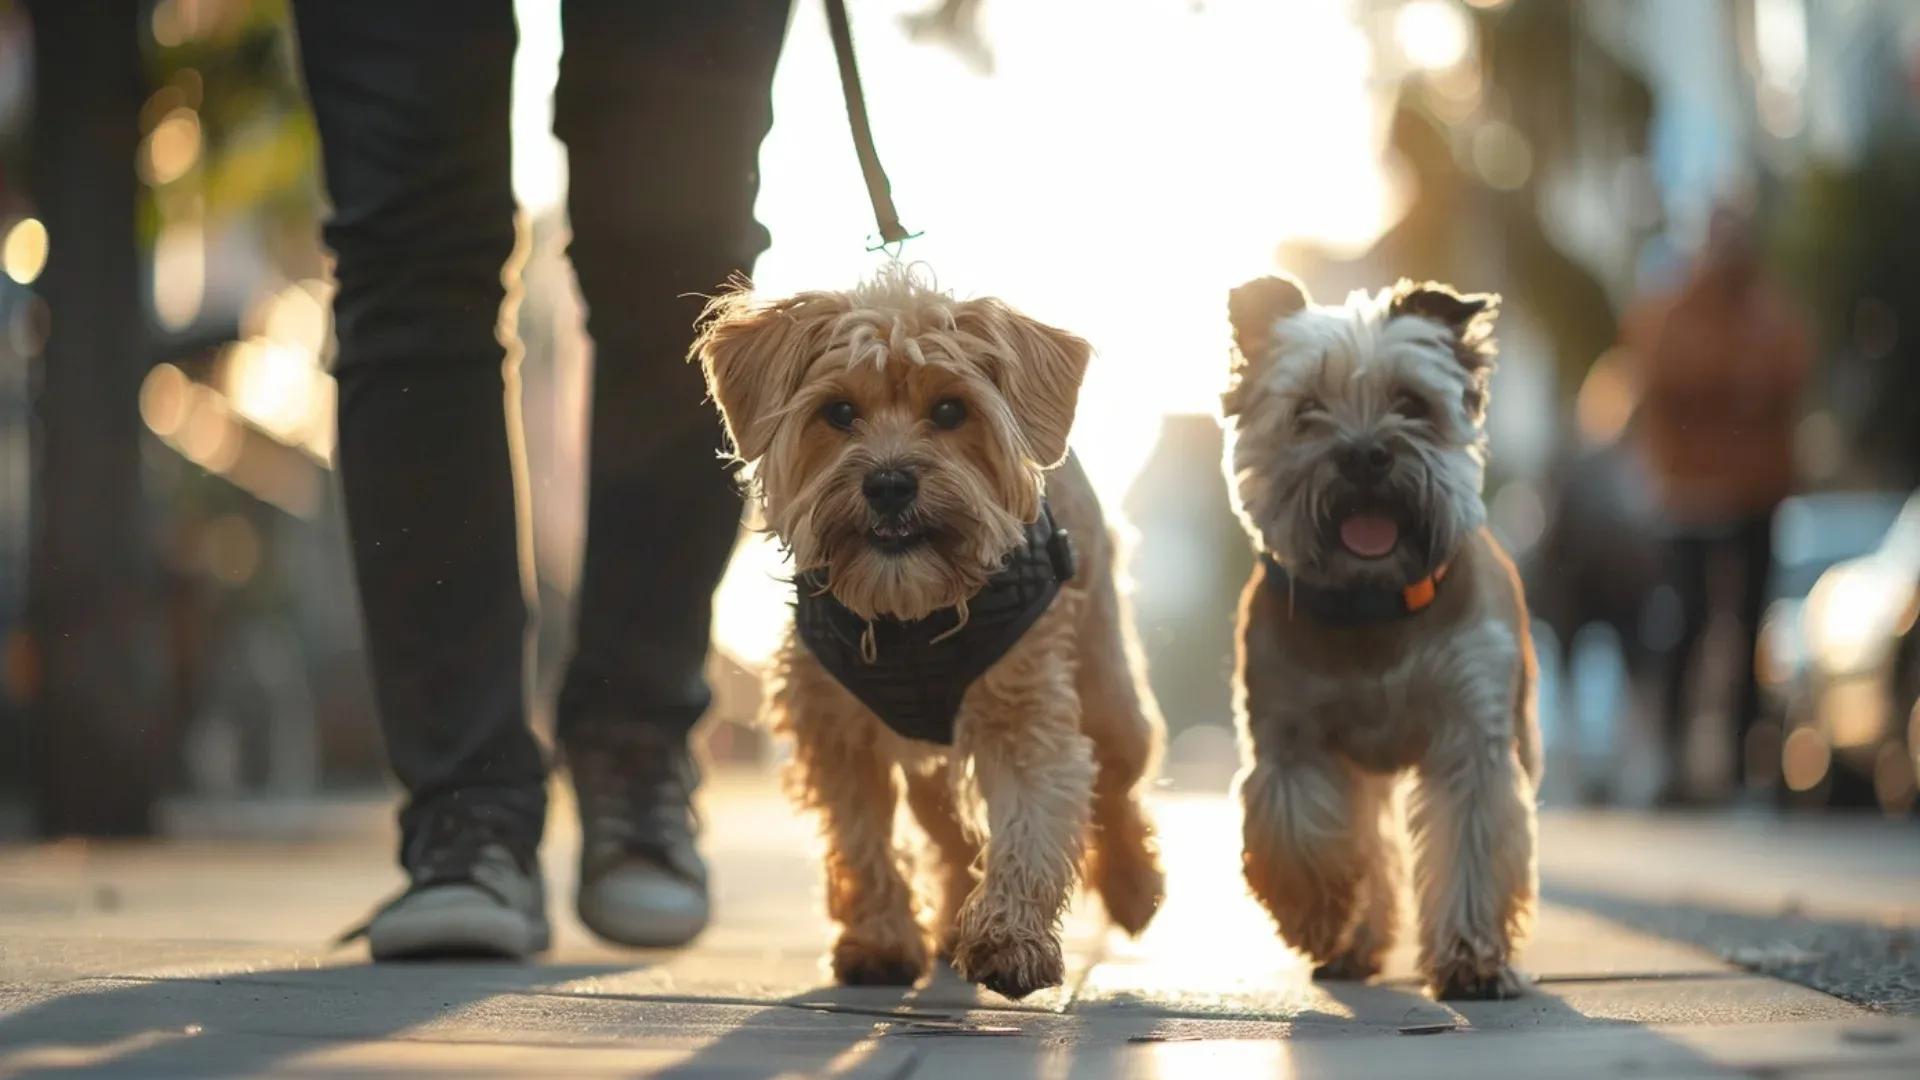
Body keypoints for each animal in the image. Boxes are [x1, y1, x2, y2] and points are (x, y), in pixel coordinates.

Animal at [695, 267, 1159, 991]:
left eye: (949, 411)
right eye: (839, 413)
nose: (889, 483)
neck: (909, 620)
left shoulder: (1023, 715)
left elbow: (1031, 824)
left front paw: (1009, 939)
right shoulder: (835, 732)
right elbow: (860, 841)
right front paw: (881, 939)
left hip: (1108, 691)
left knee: (1116, 785)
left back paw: (1135, 889)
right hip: (930, 769)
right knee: (949, 833)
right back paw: (946, 925)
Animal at [1213, 272, 1543, 999]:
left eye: (1411, 403)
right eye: (1307, 410)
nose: (1364, 454)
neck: (1372, 603)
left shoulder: (1472, 738)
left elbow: (1472, 846)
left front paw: (1472, 959)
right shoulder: (1290, 741)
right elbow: (1298, 835)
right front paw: (1320, 914)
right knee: (1372, 843)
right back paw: (1353, 943)